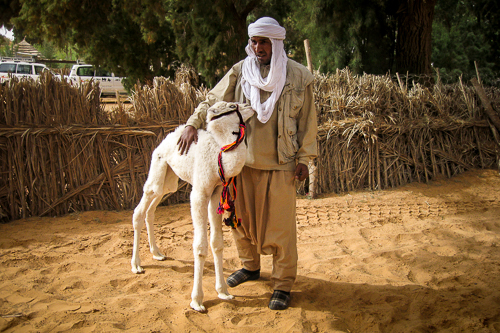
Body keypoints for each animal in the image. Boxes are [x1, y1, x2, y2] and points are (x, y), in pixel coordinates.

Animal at [132, 101, 254, 312]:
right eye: (233, 105)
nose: (251, 106)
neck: (219, 156)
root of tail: (166, 139)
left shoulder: (216, 192)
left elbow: (217, 243)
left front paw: (223, 291)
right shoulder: (199, 194)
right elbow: (200, 246)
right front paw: (197, 301)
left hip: (170, 182)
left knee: (152, 209)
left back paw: (157, 253)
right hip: (158, 168)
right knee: (140, 209)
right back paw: (136, 265)